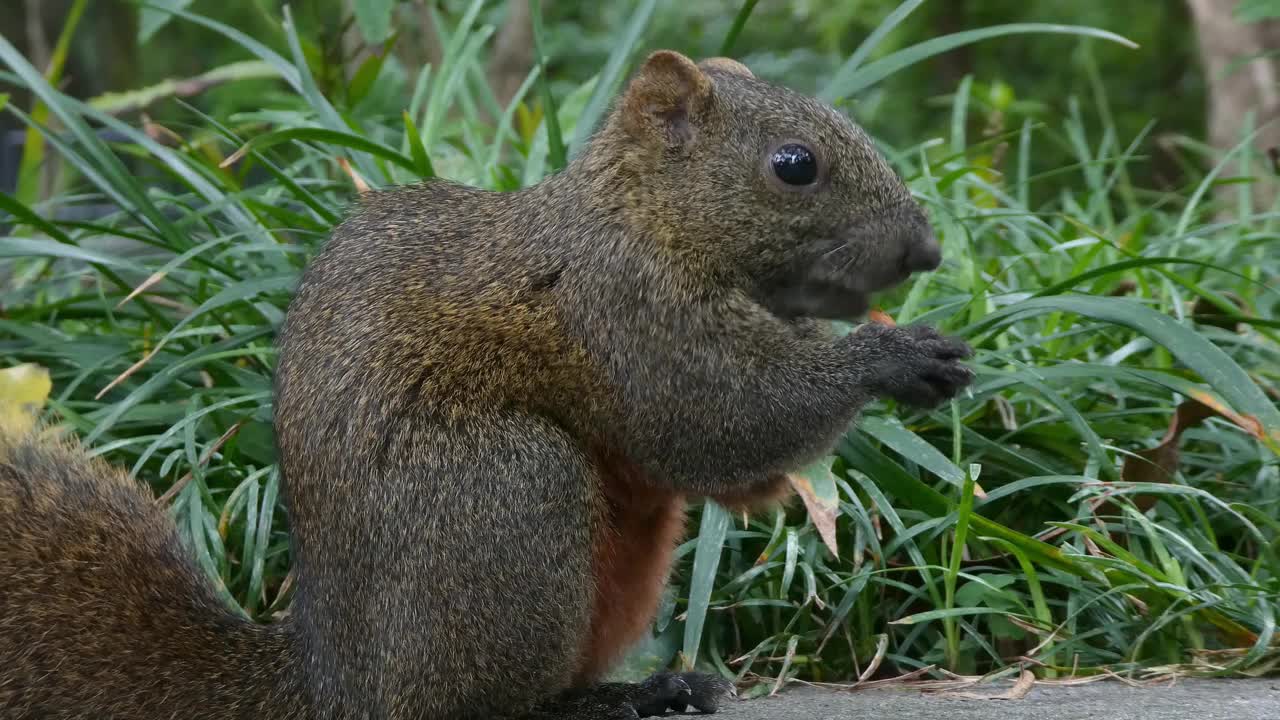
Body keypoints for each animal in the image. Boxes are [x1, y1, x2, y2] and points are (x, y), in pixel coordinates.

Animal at [0, 50, 967, 717]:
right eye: (794, 164)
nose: (928, 250)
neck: (641, 220)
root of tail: (337, 682)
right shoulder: (627, 313)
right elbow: (718, 419)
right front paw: (889, 359)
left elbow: (732, 468)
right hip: (506, 496)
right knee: (483, 705)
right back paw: (608, 700)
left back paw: (653, 687)